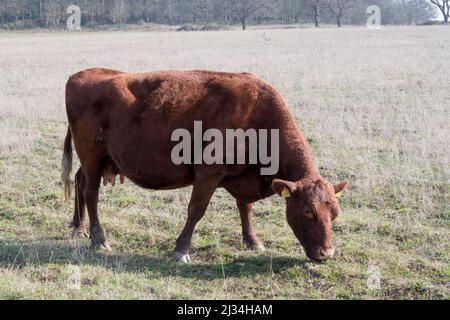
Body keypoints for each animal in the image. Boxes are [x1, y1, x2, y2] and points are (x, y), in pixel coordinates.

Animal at [60, 68, 348, 262]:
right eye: (308, 211)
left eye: (334, 212)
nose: (327, 253)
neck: (257, 115)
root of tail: (82, 74)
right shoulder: (208, 173)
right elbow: (196, 210)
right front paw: (180, 250)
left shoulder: (242, 174)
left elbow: (245, 207)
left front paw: (252, 240)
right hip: (91, 155)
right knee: (91, 192)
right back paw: (99, 239)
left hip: (95, 160)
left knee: (79, 182)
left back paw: (79, 228)